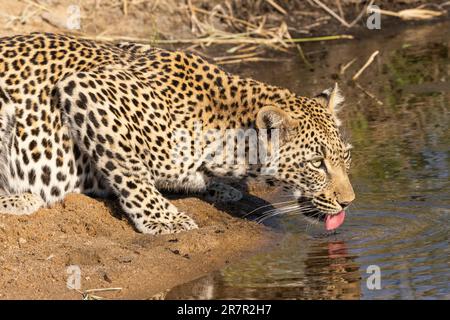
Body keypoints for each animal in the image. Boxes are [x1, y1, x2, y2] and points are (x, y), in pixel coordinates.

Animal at [0, 33, 356, 235]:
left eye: (346, 156)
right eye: (317, 163)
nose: (349, 202)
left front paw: (222, 188)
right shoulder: (86, 89)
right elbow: (131, 171)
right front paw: (164, 219)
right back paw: (21, 198)